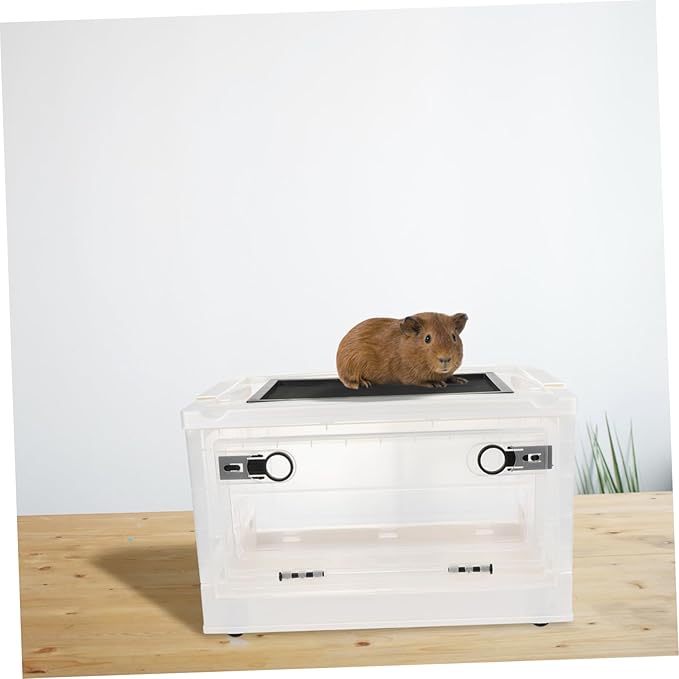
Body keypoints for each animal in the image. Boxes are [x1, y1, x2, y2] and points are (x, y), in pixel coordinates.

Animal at [336, 312, 468, 389]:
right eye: (427, 338)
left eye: (454, 337)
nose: (445, 359)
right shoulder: (407, 375)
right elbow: (418, 381)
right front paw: (437, 384)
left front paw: (461, 380)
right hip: (349, 368)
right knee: (348, 381)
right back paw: (364, 384)